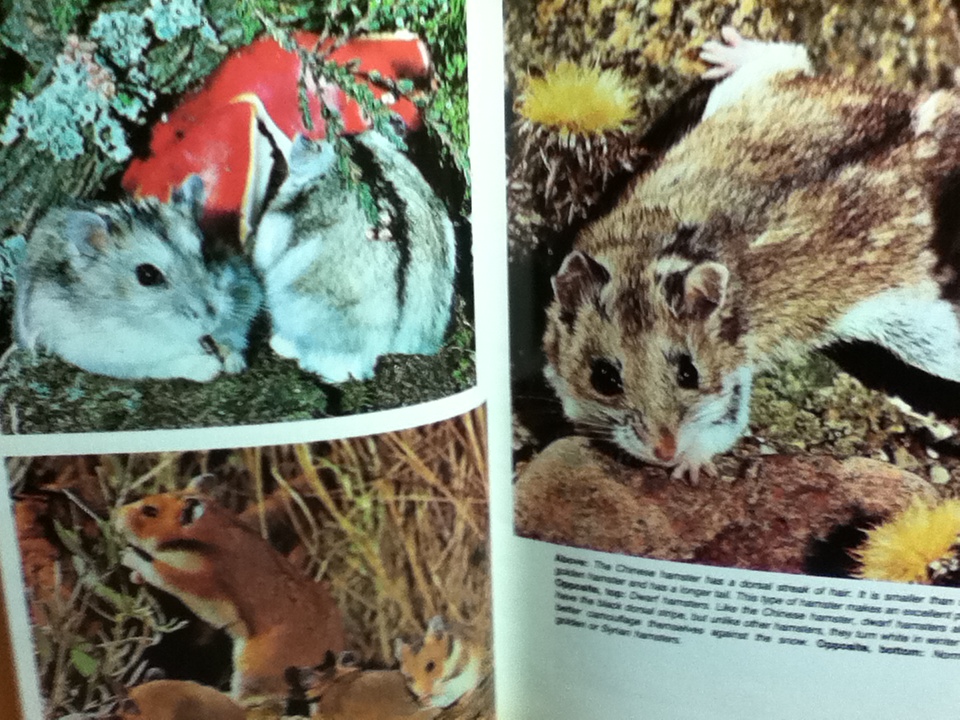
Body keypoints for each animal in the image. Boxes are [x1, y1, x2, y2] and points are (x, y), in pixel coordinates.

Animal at [14, 176, 262, 381]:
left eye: (207, 253)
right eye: (148, 275)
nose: (211, 318)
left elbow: (235, 337)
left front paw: (234, 363)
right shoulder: (121, 354)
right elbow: (165, 362)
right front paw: (211, 368)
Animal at [114, 490, 346, 702]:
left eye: (150, 511)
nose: (116, 514)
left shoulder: (193, 577)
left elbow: (155, 569)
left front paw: (127, 556)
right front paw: (134, 575)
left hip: (250, 665)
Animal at [544, 28, 960, 482]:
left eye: (689, 372)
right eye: (604, 377)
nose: (666, 452)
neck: (647, 259)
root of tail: (922, 127)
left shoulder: (734, 378)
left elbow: (725, 424)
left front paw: (690, 469)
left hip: (922, 336)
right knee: (786, 58)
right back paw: (723, 52)